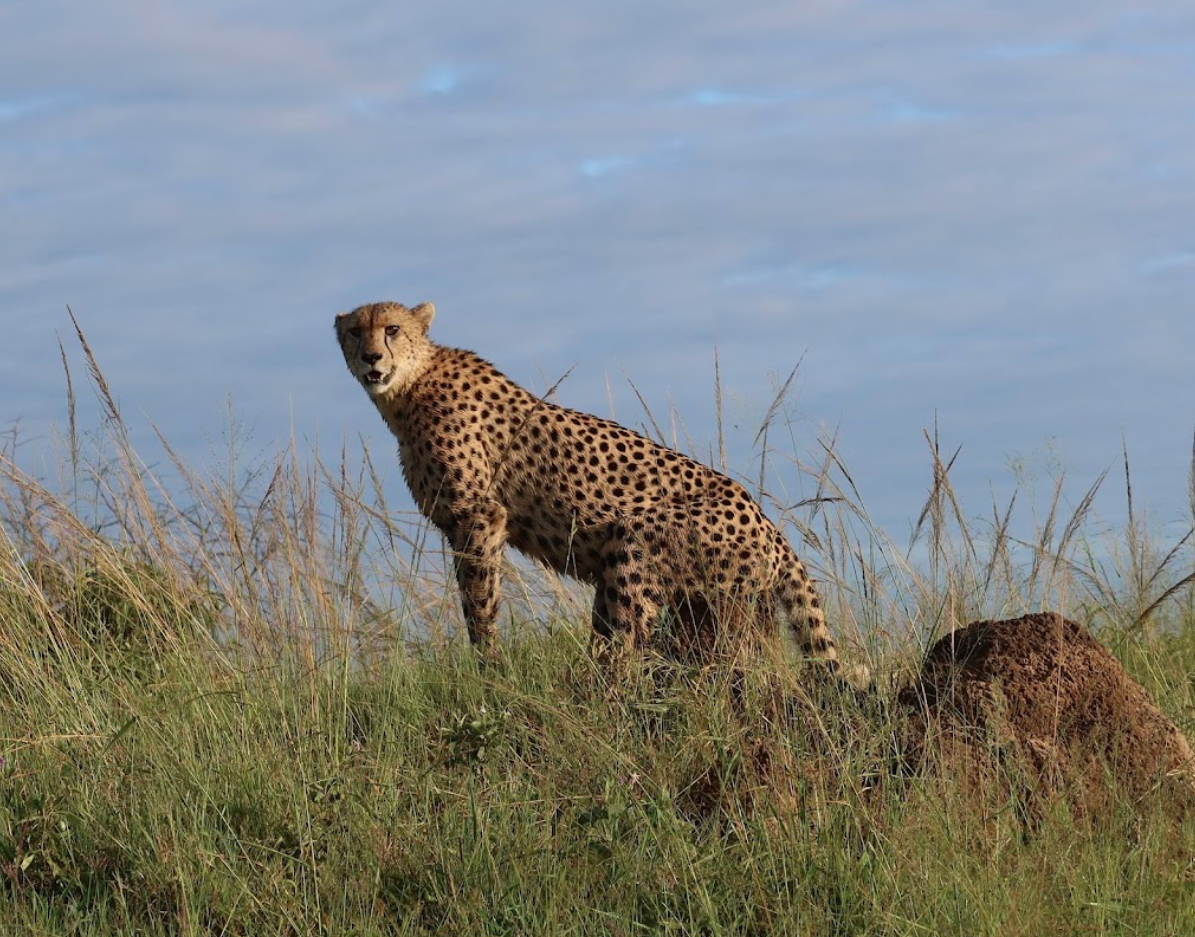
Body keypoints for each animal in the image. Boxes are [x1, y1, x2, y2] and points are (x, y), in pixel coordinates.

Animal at [335, 300, 868, 686]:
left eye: (392, 329)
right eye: (355, 332)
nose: (371, 357)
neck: (409, 388)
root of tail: (770, 525)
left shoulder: (479, 516)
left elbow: (479, 601)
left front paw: (489, 670)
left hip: (639, 544)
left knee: (632, 647)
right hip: (711, 604)